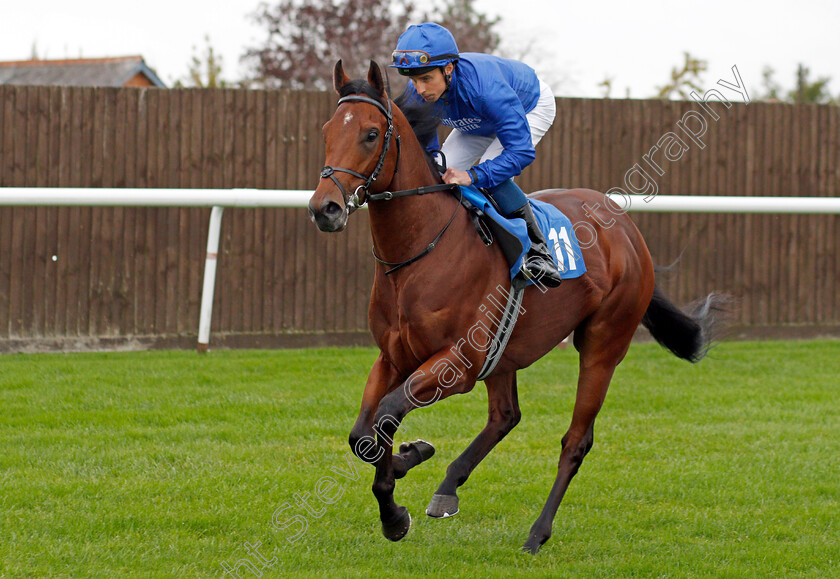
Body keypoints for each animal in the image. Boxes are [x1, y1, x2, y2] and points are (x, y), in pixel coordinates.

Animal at [308, 61, 728, 556]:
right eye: (327, 130)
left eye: (371, 134)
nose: (325, 208)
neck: (419, 252)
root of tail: (627, 229)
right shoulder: (394, 357)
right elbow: (361, 436)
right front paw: (408, 463)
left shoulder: (458, 365)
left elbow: (388, 415)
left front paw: (395, 508)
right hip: (505, 352)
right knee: (505, 415)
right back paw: (447, 487)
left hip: (603, 343)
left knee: (575, 440)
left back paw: (536, 533)